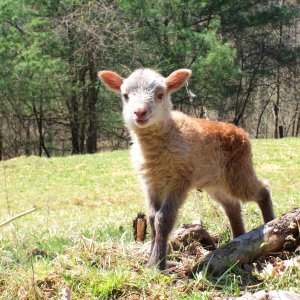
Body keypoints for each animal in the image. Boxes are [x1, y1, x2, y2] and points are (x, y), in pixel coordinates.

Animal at [98, 68, 274, 270]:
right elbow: (151, 218)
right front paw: (150, 260)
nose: (140, 112)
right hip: (215, 182)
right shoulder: (150, 182)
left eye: (160, 95)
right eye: (125, 96)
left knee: (262, 189)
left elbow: (163, 219)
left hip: (239, 170)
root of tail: (241, 132)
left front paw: (158, 264)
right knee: (232, 205)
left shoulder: (180, 178)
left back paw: (270, 223)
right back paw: (239, 239)